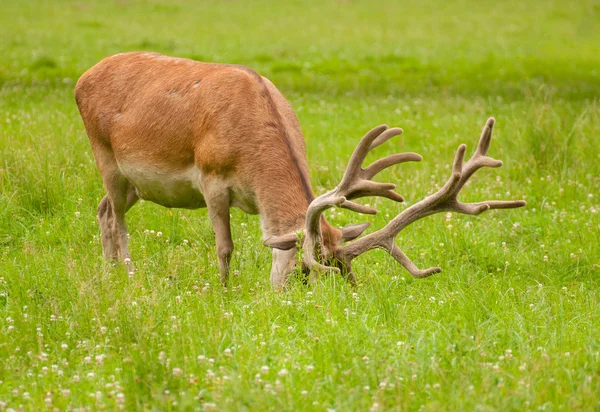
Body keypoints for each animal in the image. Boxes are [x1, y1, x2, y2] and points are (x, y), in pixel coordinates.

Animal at [76, 52, 524, 290]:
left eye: (343, 272)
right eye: (304, 272)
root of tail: (83, 76)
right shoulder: (211, 178)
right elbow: (225, 247)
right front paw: (223, 292)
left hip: (136, 185)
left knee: (102, 210)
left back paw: (108, 272)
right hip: (106, 156)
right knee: (116, 218)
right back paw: (126, 275)